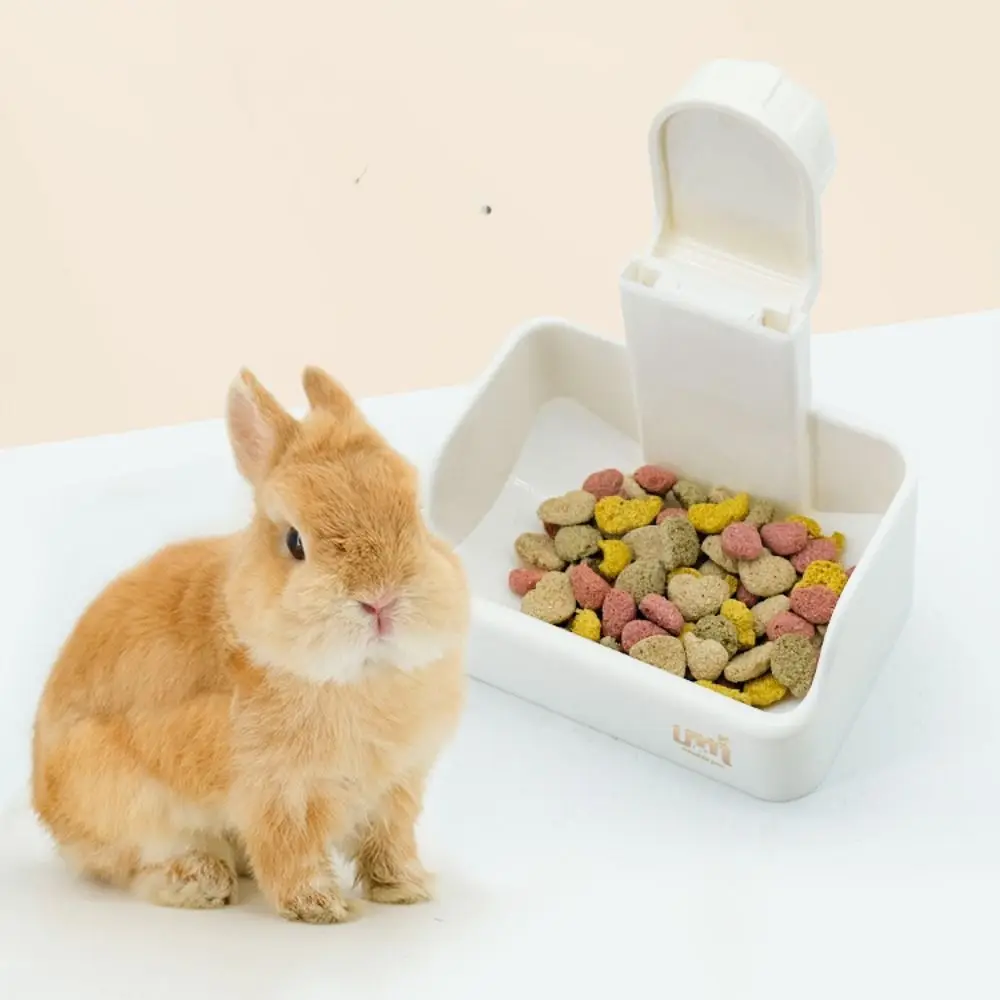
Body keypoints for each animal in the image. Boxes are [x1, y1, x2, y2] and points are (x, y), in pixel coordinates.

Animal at [31, 366, 469, 923]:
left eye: (415, 513)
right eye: (295, 542)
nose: (380, 600)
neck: (359, 675)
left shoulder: (396, 789)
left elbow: (388, 843)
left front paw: (407, 888)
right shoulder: (276, 797)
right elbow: (289, 856)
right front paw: (320, 906)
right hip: (122, 800)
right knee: (142, 863)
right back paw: (203, 881)